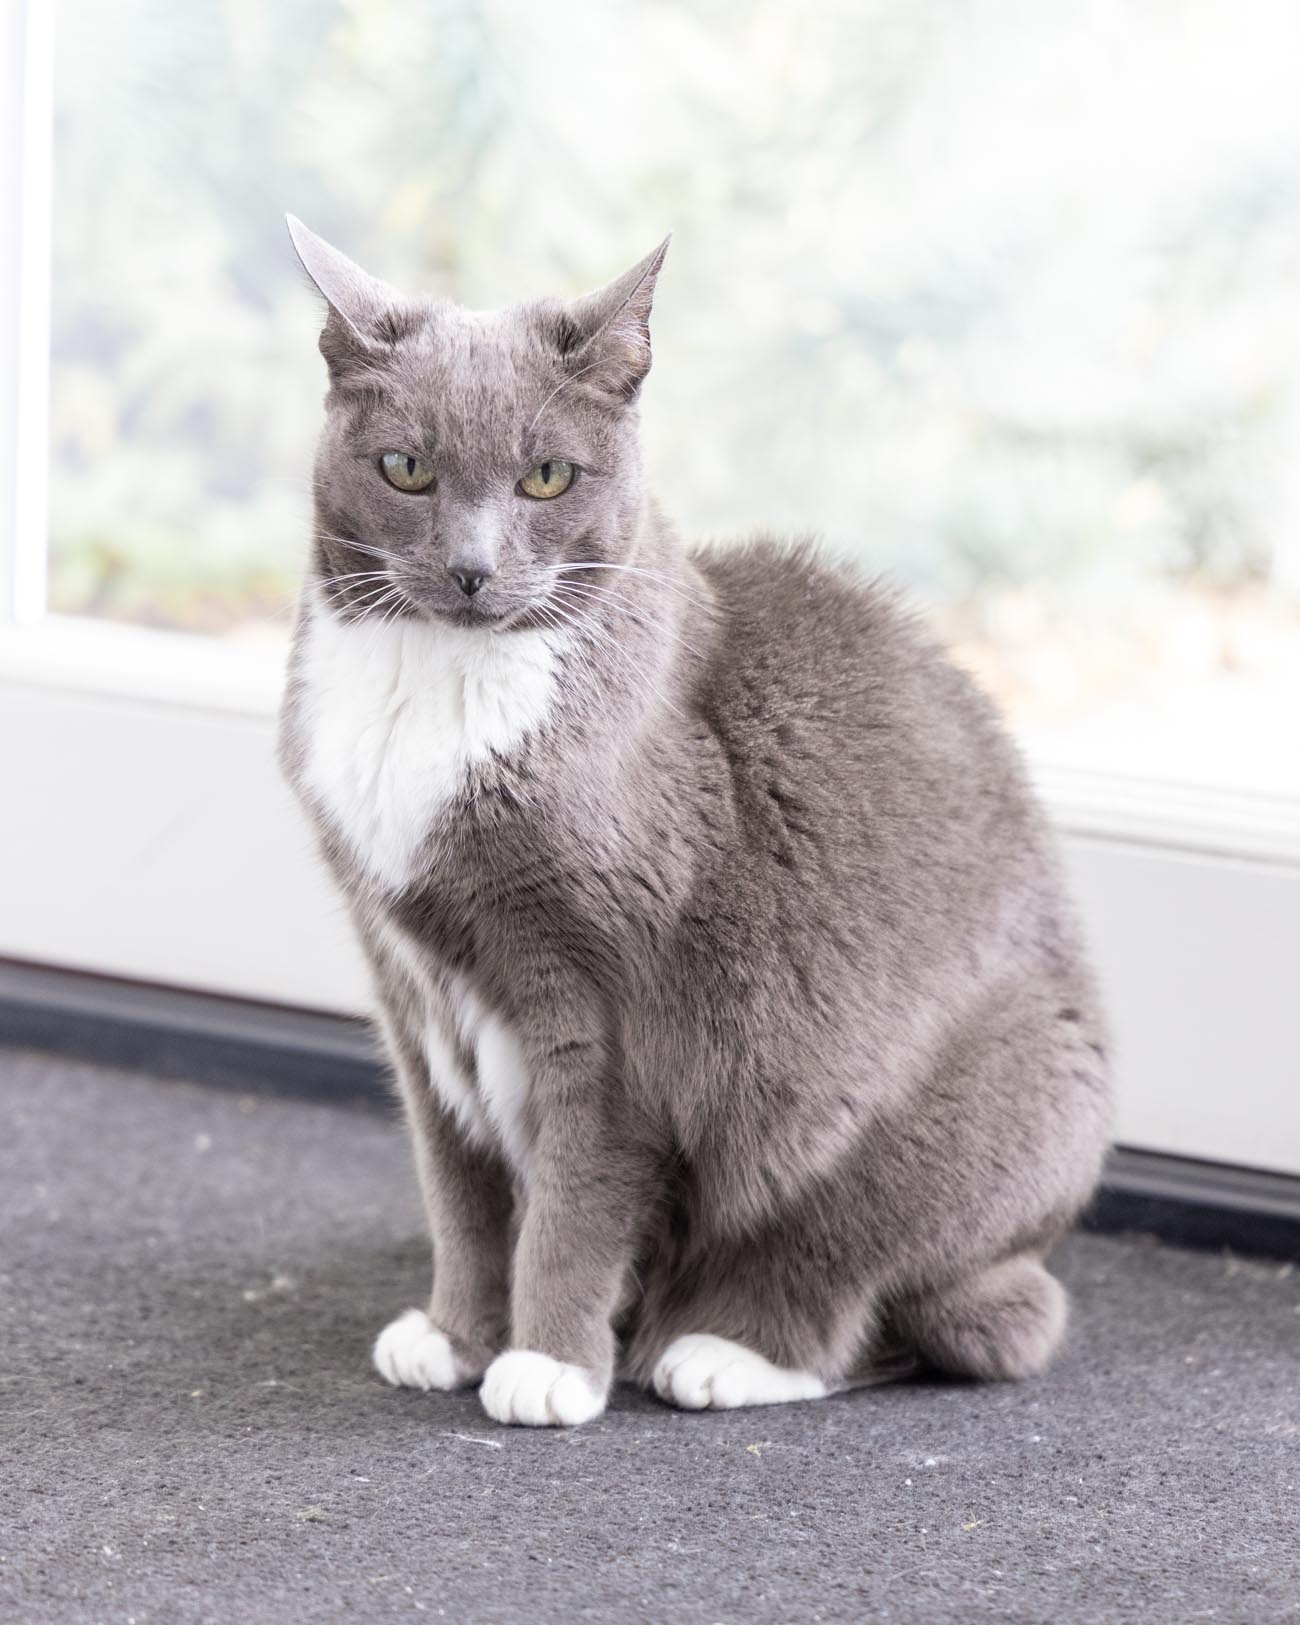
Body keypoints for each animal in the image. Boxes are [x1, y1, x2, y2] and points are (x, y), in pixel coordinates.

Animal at [279, 216, 1111, 1423]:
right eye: (406, 468)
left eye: (546, 476)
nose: (472, 569)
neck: (437, 687)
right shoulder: (409, 991)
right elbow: (460, 1193)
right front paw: (456, 1336)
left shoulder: (609, 1010)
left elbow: (576, 1200)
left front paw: (548, 1366)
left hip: (914, 1129)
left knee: (907, 1305)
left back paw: (716, 1350)